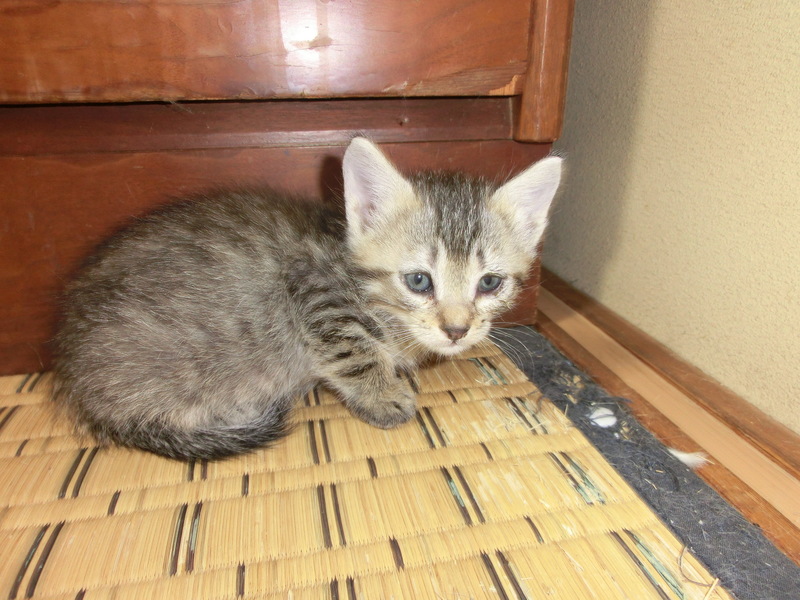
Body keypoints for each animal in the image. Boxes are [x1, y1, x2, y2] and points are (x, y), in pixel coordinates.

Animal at [52, 138, 562, 460]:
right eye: (419, 281)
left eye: (490, 283)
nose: (457, 330)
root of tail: (76, 380)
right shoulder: (312, 282)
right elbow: (353, 348)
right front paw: (382, 394)